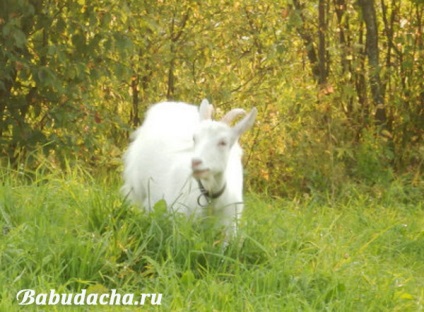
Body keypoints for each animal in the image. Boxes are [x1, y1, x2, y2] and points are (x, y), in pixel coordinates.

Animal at [121, 100, 256, 239]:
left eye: (223, 142)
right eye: (194, 138)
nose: (195, 162)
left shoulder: (230, 227)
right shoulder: (179, 217)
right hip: (137, 186)